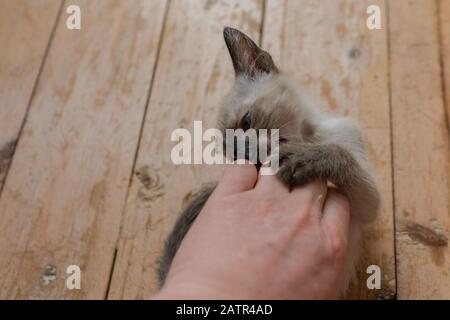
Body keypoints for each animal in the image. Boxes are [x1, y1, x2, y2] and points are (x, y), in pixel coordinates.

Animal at [158, 26, 380, 292]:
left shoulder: (367, 203)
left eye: (246, 122)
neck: (305, 138)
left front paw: (302, 159)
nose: (250, 155)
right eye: (237, 157)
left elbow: (338, 151)